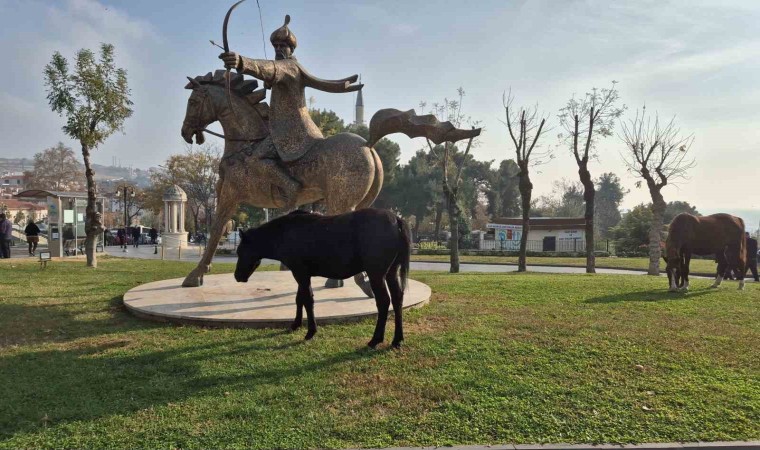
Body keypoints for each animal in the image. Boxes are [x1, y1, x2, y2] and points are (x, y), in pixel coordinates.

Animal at [236, 209, 410, 350]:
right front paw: (296, 324)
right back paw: (397, 340)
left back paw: (375, 339)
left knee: (384, 302)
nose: (237, 276)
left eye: (240, 251)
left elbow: (307, 300)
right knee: (397, 299)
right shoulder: (302, 274)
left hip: (376, 274)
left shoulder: (300, 273)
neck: (285, 232)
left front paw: (310, 331)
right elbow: (300, 299)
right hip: (391, 273)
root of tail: (396, 219)